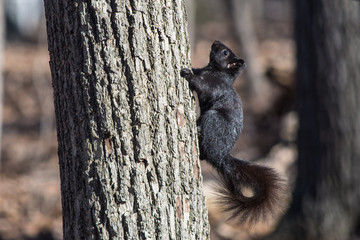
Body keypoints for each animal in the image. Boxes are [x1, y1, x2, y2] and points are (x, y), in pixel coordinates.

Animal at [181, 40, 286, 223]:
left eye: (225, 52)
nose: (215, 42)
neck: (215, 71)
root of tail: (221, 156)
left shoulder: (215, 86)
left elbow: (203, 86)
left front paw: (188, 74)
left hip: (214, 119)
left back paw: (199, 131)